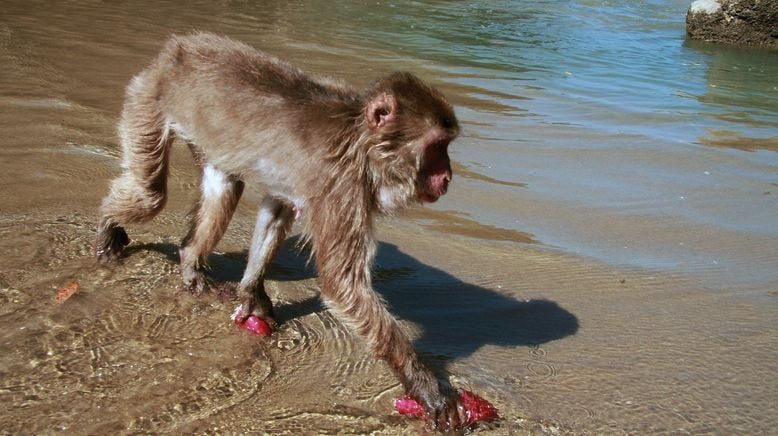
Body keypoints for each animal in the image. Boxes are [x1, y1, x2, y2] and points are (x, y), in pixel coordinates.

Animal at [95, 33, 460, 430]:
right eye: (437, 147)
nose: (448, 177)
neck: (359, 142)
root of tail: (175, 50)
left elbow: (277, 210)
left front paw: (252, 294)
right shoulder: (341, 185)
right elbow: (343, 286)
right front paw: (425, 385)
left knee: (224, 186)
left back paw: (190, 260)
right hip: (146, 100)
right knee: (151, 196)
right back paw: (108, 226)